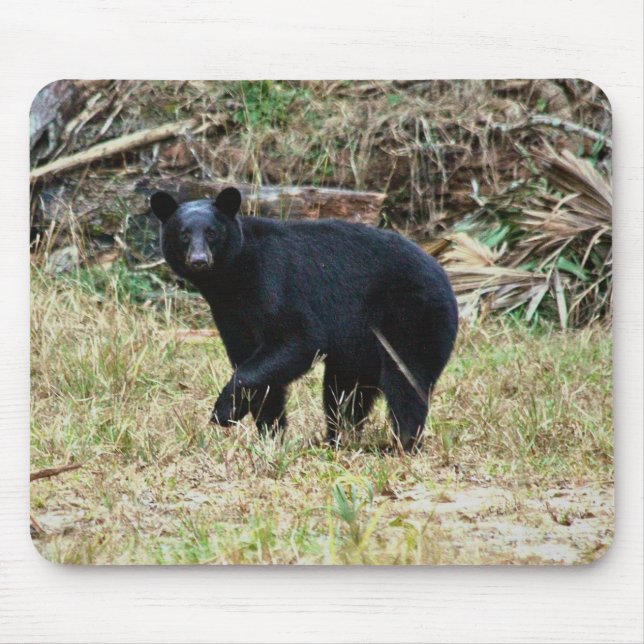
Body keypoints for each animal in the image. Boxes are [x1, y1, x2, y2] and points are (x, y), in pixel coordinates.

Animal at [150, 187, 458, 452]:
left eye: (212, 232)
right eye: (183, 234)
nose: (199, 260)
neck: (232, 279)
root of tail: (443, 275)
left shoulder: (272, 282)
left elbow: (297, 339)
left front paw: (224, 411)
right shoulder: (230, 315)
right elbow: (256, 366)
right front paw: (270, 435)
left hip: (412, 315)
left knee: (405, 379)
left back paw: (400, 444)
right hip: (361, 343)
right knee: (345, 390)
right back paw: (337, 439)